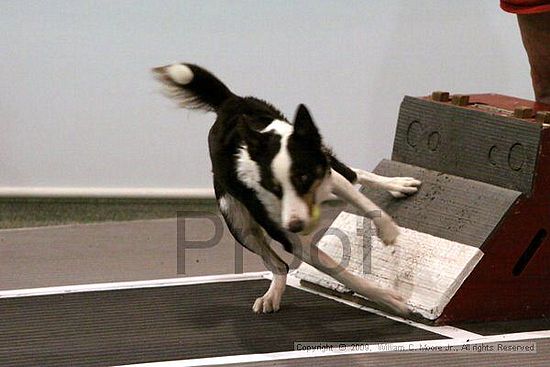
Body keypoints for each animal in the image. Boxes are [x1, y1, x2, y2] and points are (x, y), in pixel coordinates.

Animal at [155, 63, 422, 316]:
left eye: (303, 177)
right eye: (273, 187)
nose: (296, 224)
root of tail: (229, 101)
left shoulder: (325, 178)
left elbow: (366, 203)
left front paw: (388, 230)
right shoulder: (289, 236)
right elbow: (339, 272)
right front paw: (387, 299)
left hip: (323, 163)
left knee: (352, 173)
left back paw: (397, 184)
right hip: (237, 222)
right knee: (279, 266)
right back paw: (271, 294)